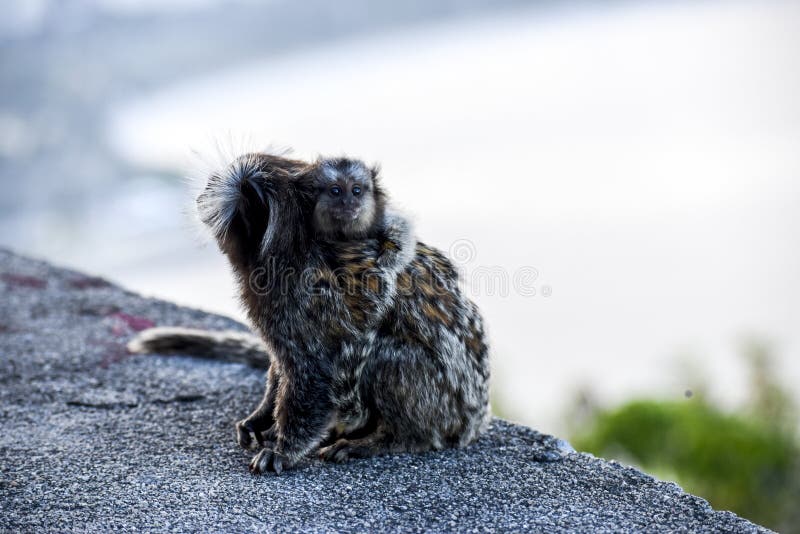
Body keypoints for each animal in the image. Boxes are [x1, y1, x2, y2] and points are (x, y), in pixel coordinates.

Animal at [129, 152, 490, 478]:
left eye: (240, 188)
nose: (205, 190)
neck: (286, 251)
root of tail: (474, 419)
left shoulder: (307, 299)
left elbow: (318, 372)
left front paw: (282, 450)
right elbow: (280, 367)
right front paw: (261, 418)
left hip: (442, 408)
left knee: (390, 358)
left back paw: (384, 439)